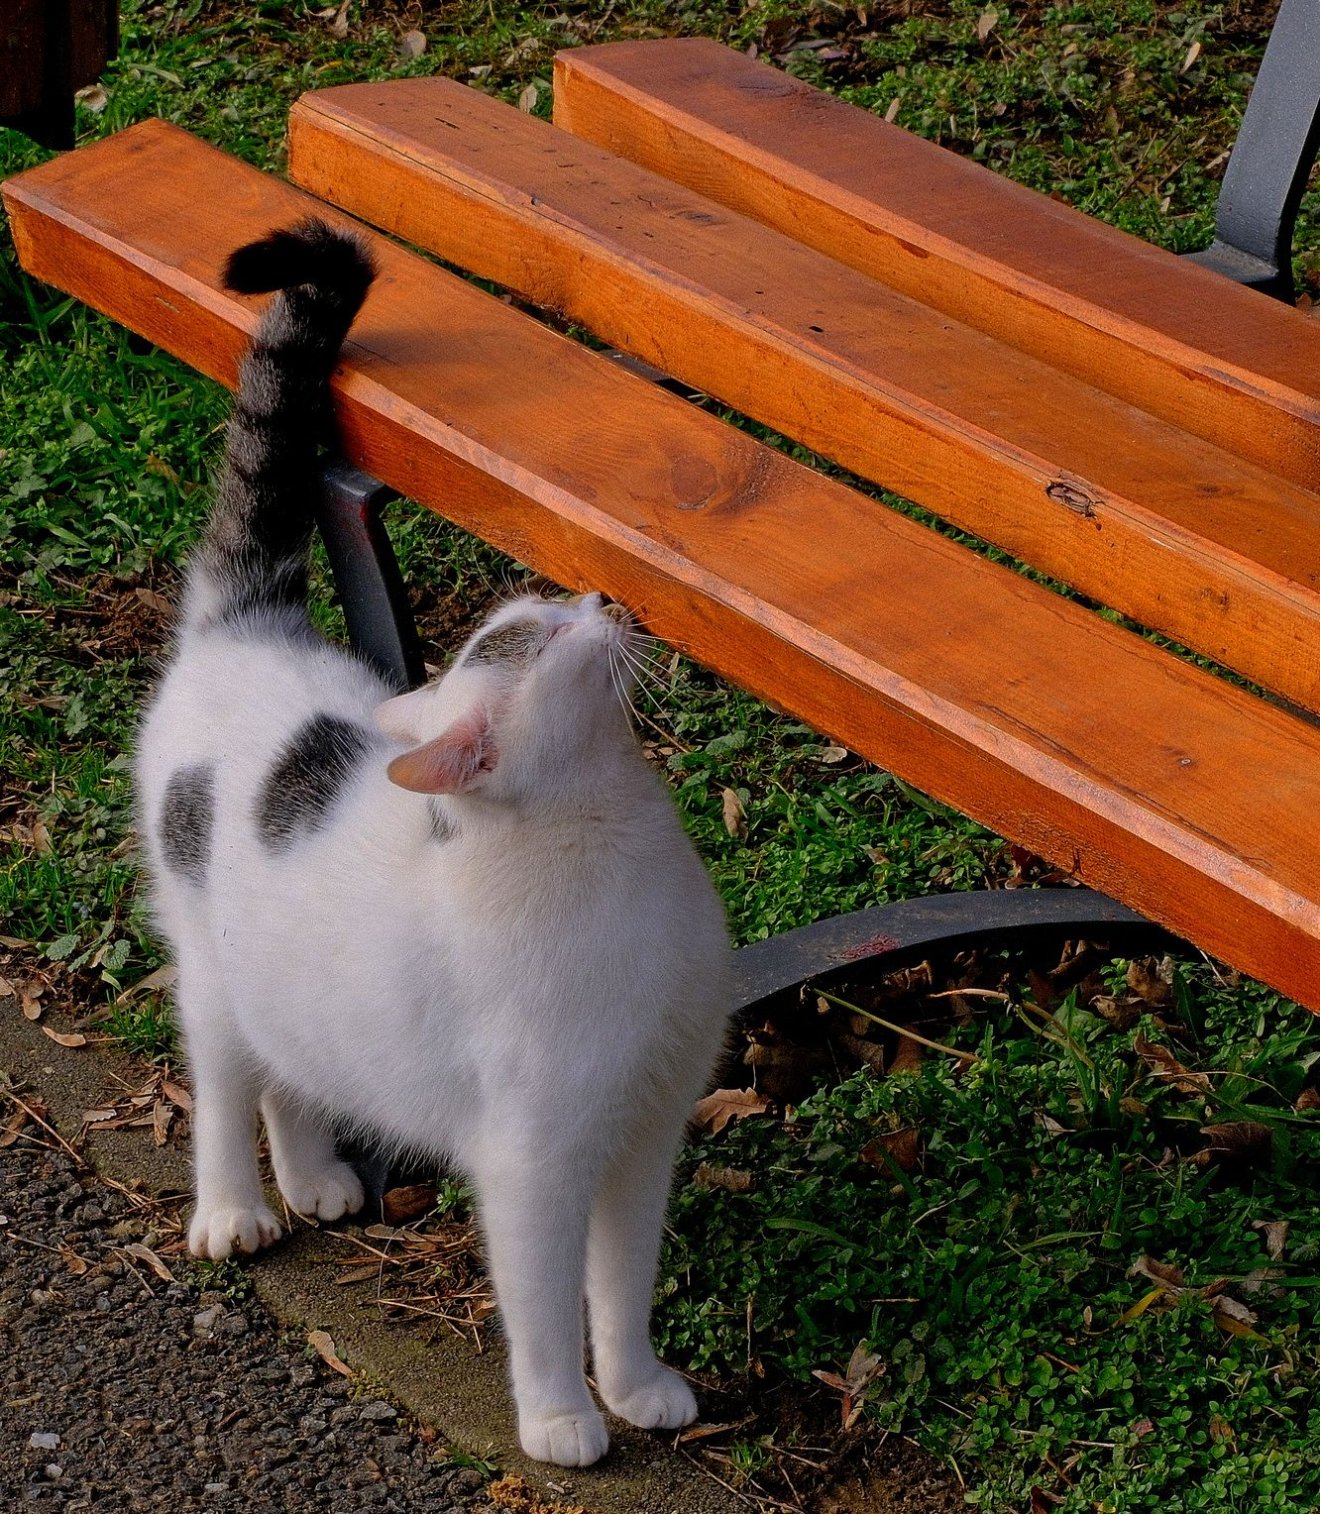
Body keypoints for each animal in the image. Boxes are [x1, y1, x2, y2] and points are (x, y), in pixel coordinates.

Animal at [134, 218, 733, 1467]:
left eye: (553, 608)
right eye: (530, 639)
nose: (602, 596)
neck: (615, 853)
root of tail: (242, 627)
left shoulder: (647, 1131)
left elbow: (624, 1283)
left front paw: (638, 1384)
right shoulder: (534, 1159)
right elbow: (546, 1301)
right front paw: (559, 1415)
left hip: (298, 987)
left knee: (291, 1070)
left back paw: (316, 1175)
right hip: (210, 974)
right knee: (225, 1082)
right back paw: (235, 1209)